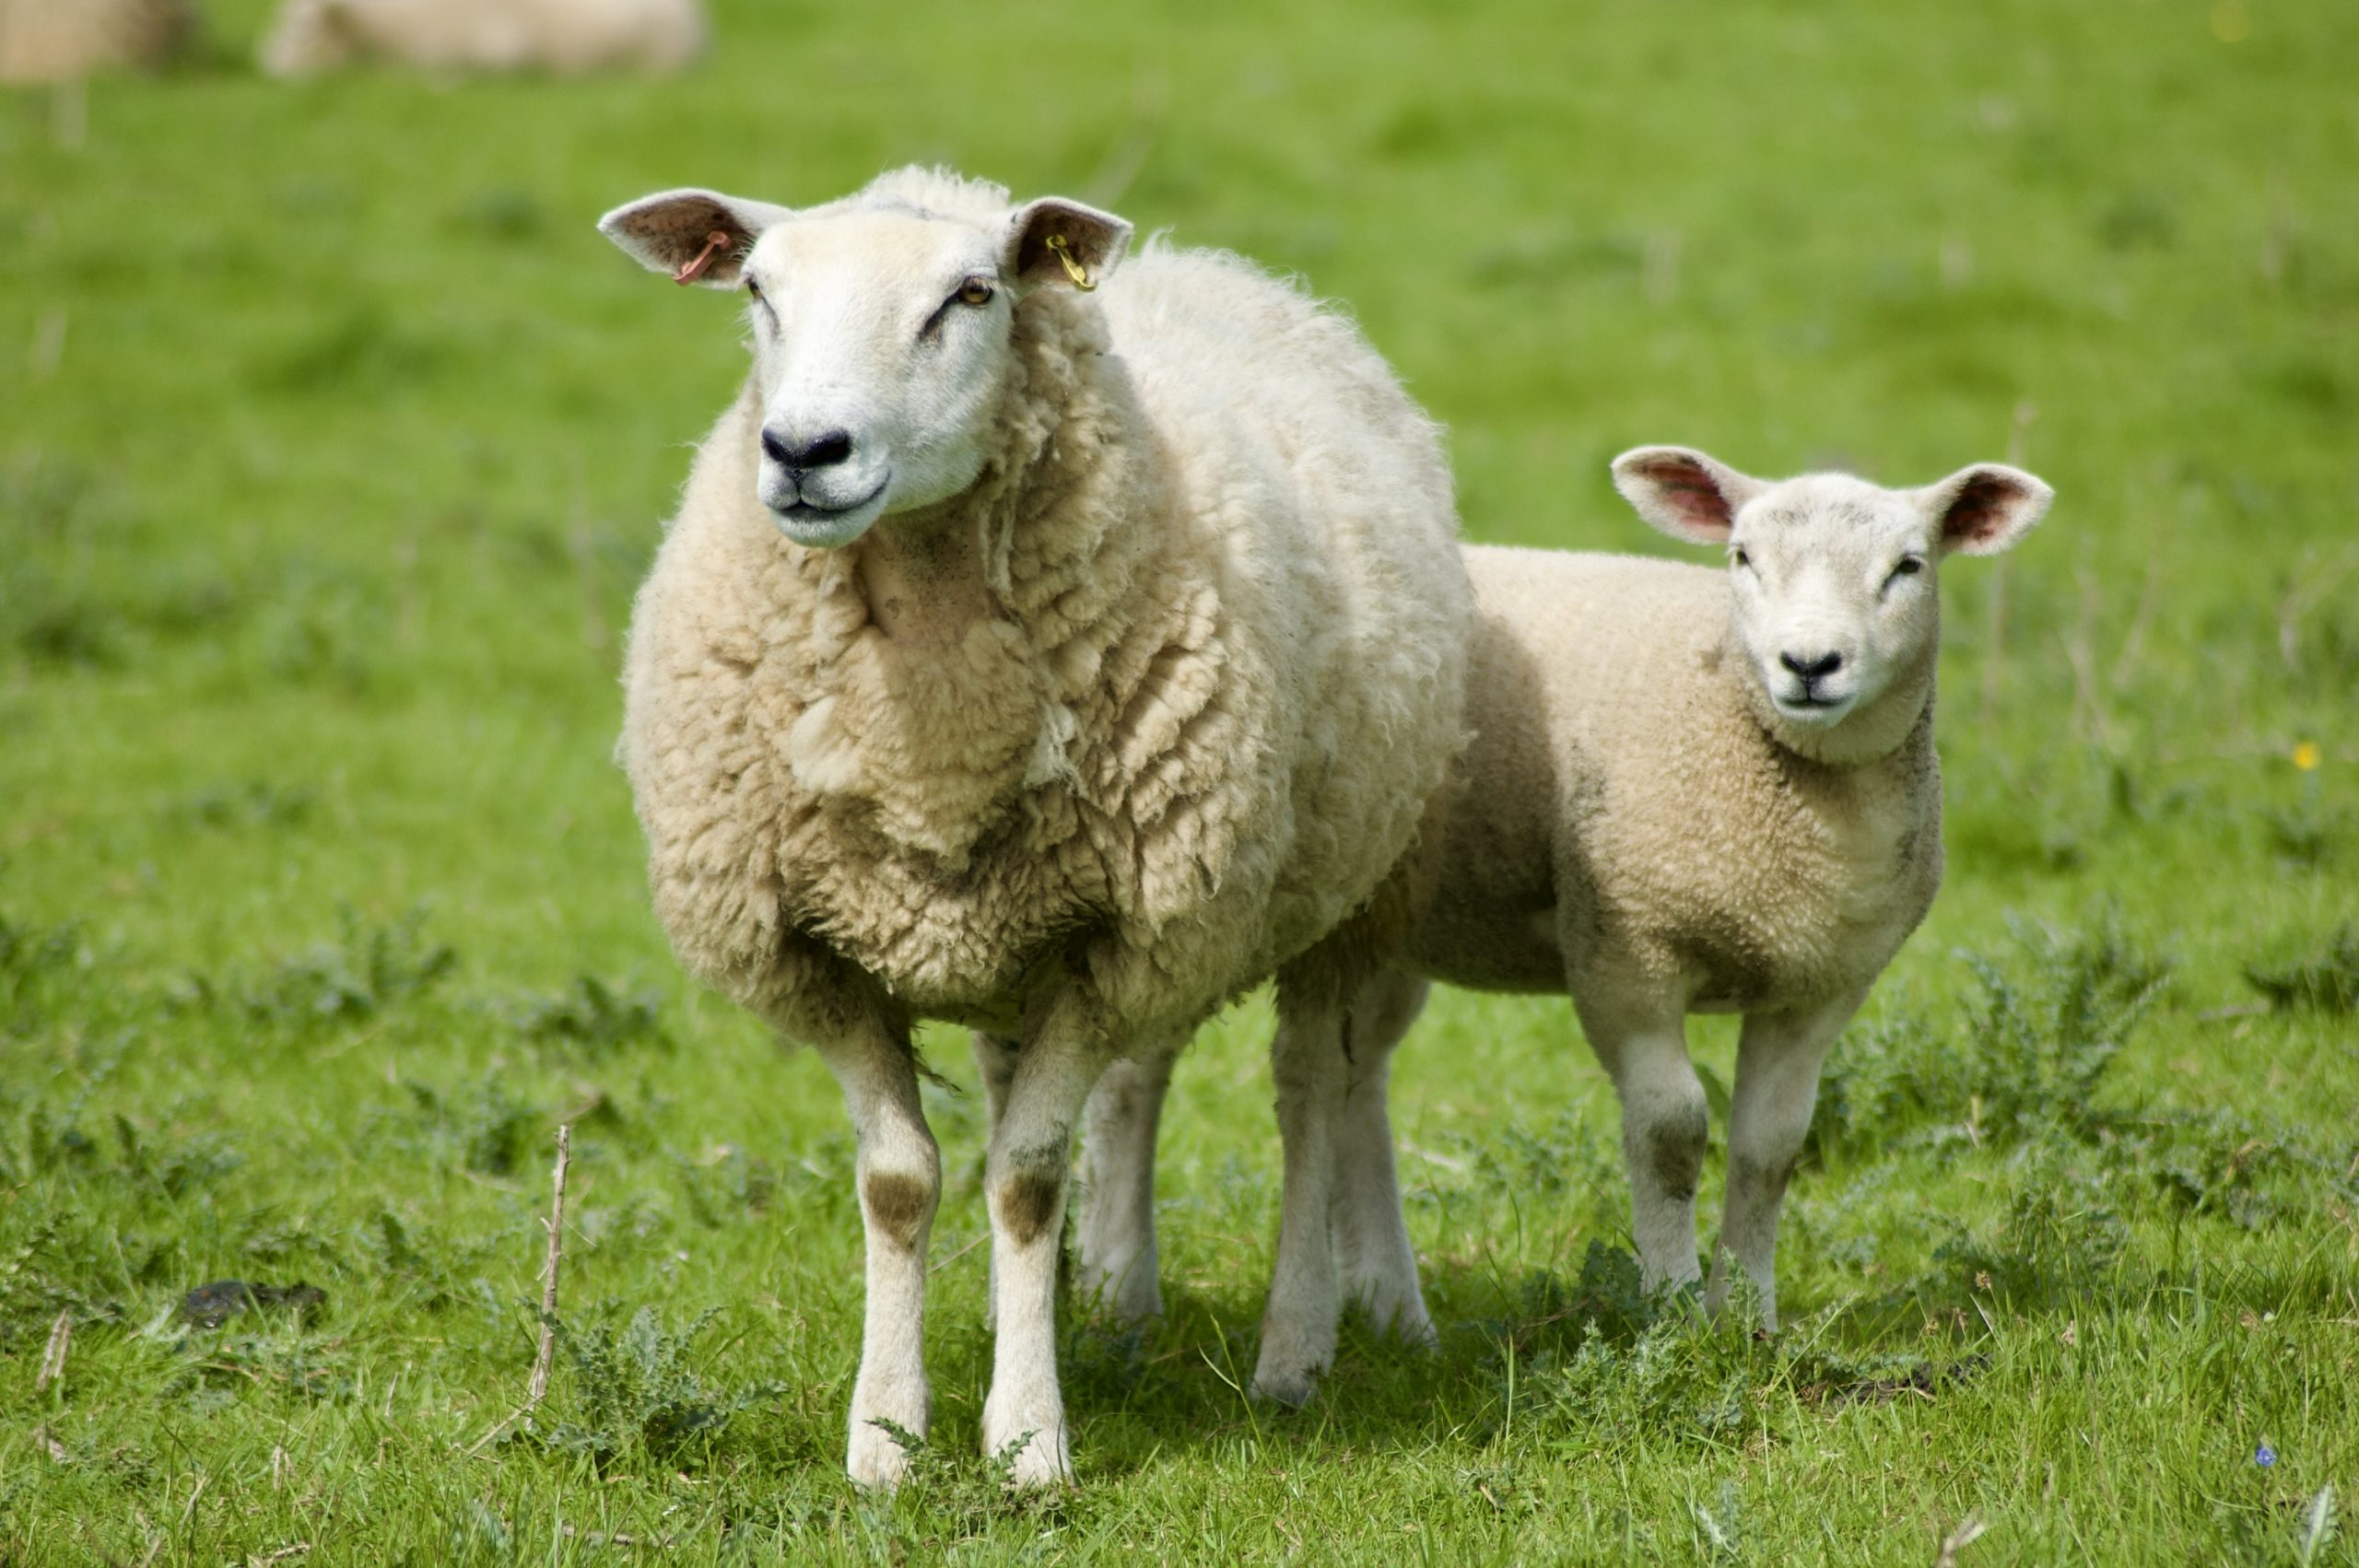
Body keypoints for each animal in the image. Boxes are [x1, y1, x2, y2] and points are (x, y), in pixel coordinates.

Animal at [595, 166, 1470, 1486]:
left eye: (970, 294)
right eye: (757, 290)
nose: (803, 452)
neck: (933, 718)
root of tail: (1198, 266)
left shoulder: (1117, 944)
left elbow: (1024, 1176)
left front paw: (1026, 1442)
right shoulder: (822, 954)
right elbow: (901, 1182)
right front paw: (889, 1437)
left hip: (1337, 887)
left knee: (1315, 1088)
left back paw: (1295, 1346)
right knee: (1136, 1086)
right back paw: (1102, 1308)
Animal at [1079, 446, 2052, 1395]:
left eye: (1909, 565)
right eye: (1742, 556)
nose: (1809, 666)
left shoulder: (1822, 988)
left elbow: (1769, 1149)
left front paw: (1750, 1321)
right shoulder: (1625, 954)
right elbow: (1671, 1134)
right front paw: (1673, 1315)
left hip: (1390, 923)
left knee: (1358, 1081)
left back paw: (1397, 1317)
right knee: (1144, 1075)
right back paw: (1125, 1300)